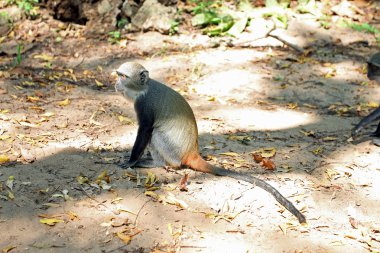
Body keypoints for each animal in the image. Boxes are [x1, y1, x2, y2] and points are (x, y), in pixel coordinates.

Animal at [115, 61, 306, 223]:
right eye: (118, 74)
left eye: (123, 76)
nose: (116, 84)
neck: (144, 88)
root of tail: (192, 152)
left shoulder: (144, 104)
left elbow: (146, 129)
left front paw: (131, 161)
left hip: (173, 151)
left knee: (156, 136)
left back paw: (157, 163)